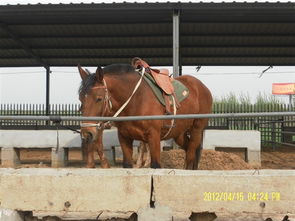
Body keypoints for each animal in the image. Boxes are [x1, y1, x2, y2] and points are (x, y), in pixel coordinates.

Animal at [78, 62, 213, 169]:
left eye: (99, 99)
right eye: (80, 98)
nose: (87, 133)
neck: (135, 100)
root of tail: (202, 87)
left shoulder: (154, 137)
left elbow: (155, 165)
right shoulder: (124, 137)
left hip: (196, 129)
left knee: (190, 155)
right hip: (179, 133)